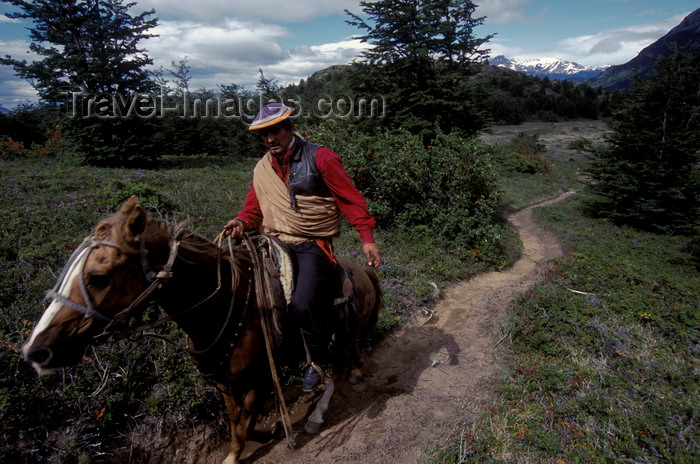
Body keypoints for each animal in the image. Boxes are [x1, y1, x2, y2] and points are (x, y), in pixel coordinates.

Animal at [20, 197, 382, 464]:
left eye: (98, 276)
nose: (37, 350)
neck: (223, 306)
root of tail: (360, 271)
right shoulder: (225, 381)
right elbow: (239, 424)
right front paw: (268, 432)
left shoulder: (259, 379)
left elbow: (245, 423)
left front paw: (249, 445)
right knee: (351, 359)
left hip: (339, 336)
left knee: (336, 369)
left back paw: (317, 415)